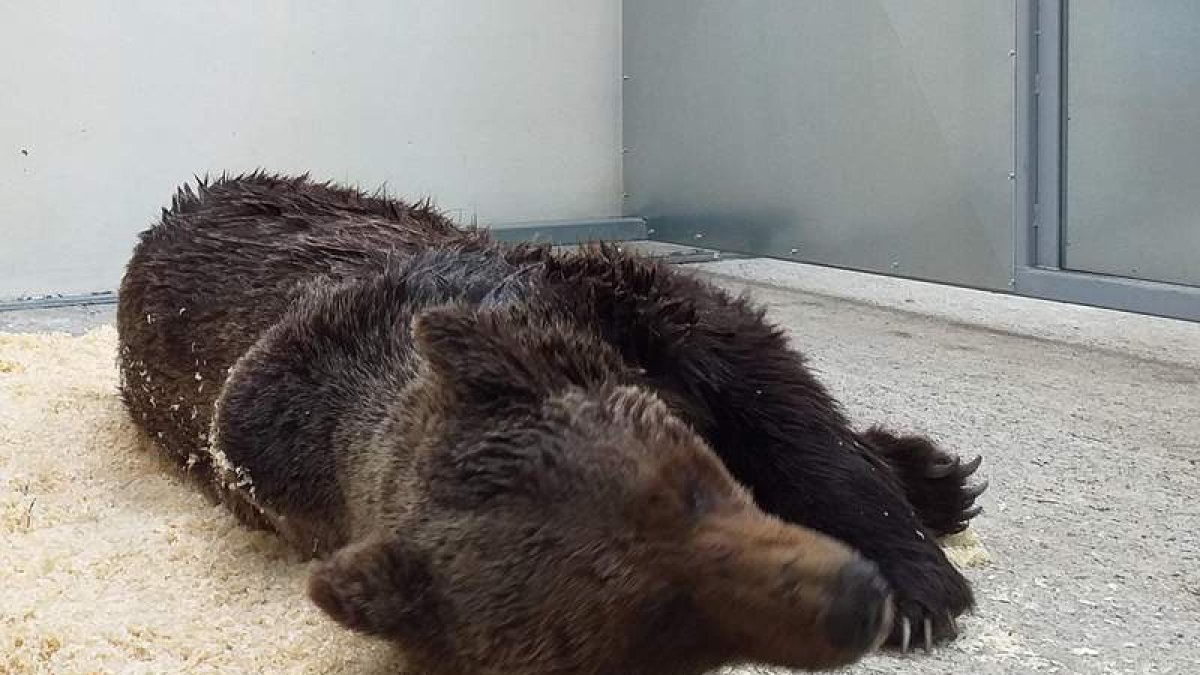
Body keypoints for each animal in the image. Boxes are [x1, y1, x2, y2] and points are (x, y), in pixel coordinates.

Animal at [116, 172, 985, 674]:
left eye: (694, 488)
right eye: (651, 633)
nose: (849, 607)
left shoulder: (621, 301)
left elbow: (781, 402)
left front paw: (920, 583)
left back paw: (932, 474)